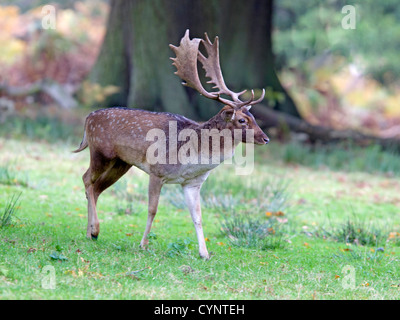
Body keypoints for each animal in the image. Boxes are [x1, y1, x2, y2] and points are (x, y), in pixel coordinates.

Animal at [74, 30, 268, 258]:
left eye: (253, 116)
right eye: (242, 120)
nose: (265, 138)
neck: (192, 157)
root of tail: (88, 118)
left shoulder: (192, 183)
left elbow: (198, 216)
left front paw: (204, 253)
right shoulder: (157, 171)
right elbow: (152, 209)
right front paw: (143, 244)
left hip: (121, 162)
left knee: (96, 188)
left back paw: (91, 233)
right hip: (100, 152)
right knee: (86, 179)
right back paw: (94, 229)